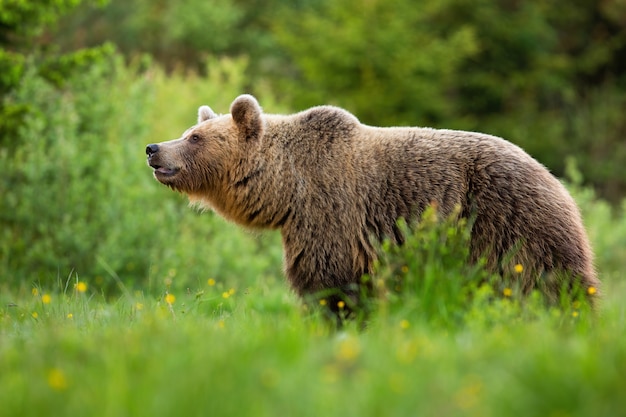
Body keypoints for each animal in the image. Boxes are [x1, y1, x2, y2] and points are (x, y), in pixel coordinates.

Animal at [144, 92, 596, 310]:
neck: (288, 188)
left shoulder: (331, 211)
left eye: (194, 138)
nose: (153, 148)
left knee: (546, 281)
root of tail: (555, 180)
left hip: (507, 221)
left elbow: (328, 278)